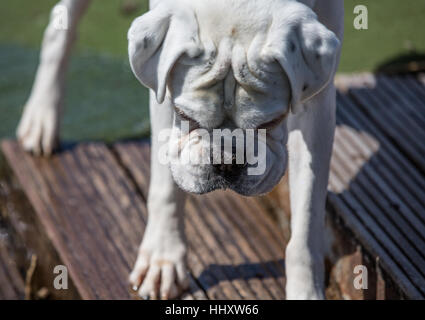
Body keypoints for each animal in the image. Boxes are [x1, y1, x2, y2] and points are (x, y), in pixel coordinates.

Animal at [16, 0, 342, 300]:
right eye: (185, 117)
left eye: (271, 122)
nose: (226, 160)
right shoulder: (163, 93)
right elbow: (166, 190)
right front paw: (163, 259)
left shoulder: (318, 107)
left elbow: (307, 219)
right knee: (62, 23)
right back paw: (42, 116)